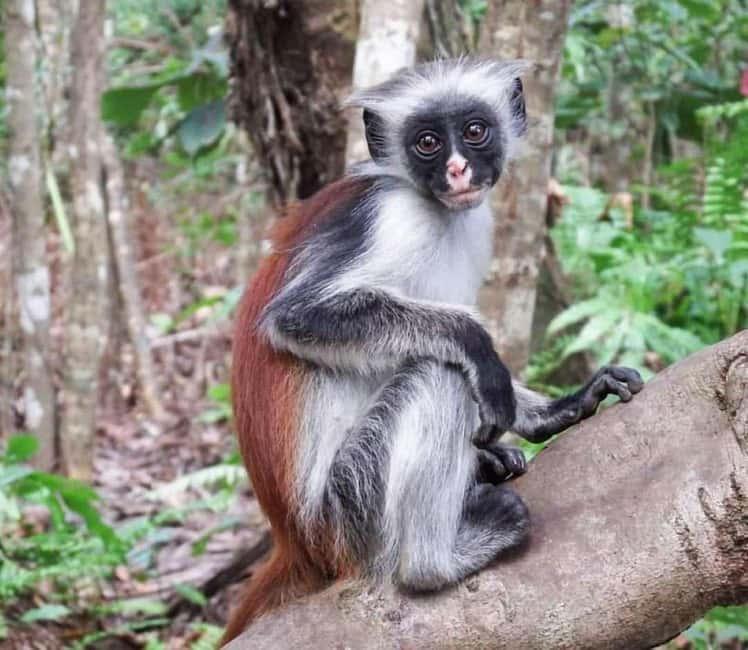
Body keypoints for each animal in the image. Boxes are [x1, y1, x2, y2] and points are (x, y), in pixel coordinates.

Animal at [223, 58, 643, 644]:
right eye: (427, 143)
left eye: (474, 131)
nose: (459, 170)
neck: (431, 207)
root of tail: (296, 539)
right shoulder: (387, 216)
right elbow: (299, 317)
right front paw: (480, 351)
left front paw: (558, 408)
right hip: (348, 508)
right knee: (440, 376)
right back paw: (435, 562)